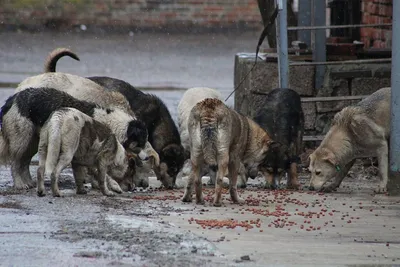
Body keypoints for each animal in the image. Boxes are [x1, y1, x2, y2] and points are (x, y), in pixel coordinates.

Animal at [0, 87, 148, 191]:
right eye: (140, 143)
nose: (146, 157)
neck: (113, 124)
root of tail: (12, 99)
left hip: (33, 141)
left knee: (24, 162)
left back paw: (29, 182)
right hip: (22, 140)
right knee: (15, 163)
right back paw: (20, 184)